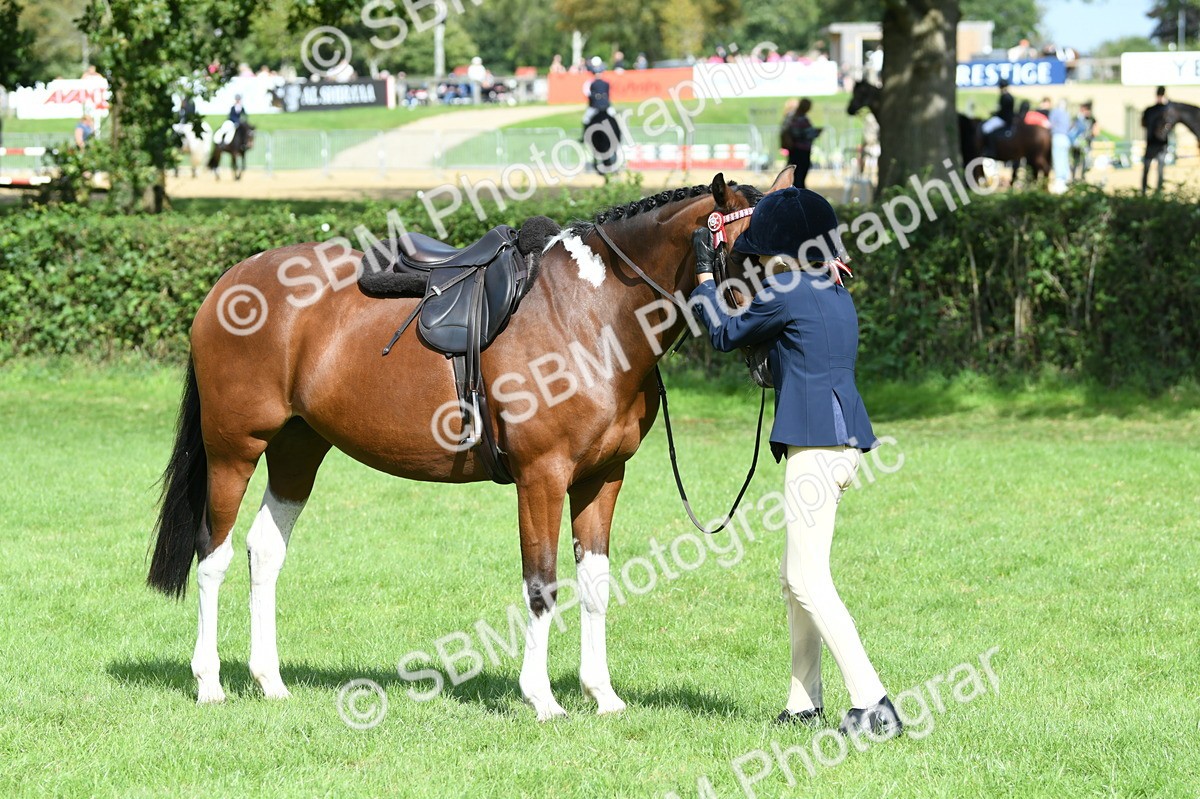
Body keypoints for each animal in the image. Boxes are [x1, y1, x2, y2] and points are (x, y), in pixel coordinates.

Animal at [146, 167, 796, 720]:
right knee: (213, 553)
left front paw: (602, 695)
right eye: (748, 254)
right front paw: (542, 699)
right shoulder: (542, 476)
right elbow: (542, 584)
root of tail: (229, 282)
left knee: (264, 550)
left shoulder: (601, 477)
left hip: (297, 450)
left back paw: (270, 682)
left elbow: (595, 585)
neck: (594, 312)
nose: (775, 356)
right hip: (234, 449)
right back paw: (209, 683)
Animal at [847, 80, 1052, 186]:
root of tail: (1046, 129)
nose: (849, 109)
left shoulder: (972, 157)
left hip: (1035, 157)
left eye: (860, 93)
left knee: (1043, 171)